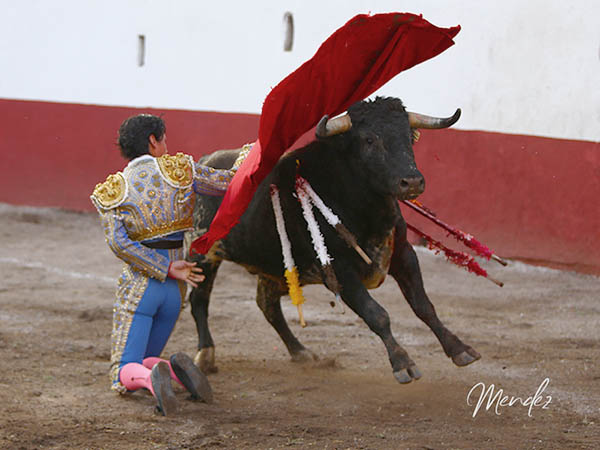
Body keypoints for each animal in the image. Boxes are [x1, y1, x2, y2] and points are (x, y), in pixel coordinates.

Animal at [188, 96, 478, 384]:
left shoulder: (404, 254)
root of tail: (204, 161)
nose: (413, 182)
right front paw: (402, 363)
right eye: (369, 140)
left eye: (409, 136)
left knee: (266, 304)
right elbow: (377, 314)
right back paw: (206, 355)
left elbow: (424, 306)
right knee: (199, 299)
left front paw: (459, 349)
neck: (365, 207)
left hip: (274, 264)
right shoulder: (340, 272)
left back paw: (300, 351)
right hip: (202, 254)